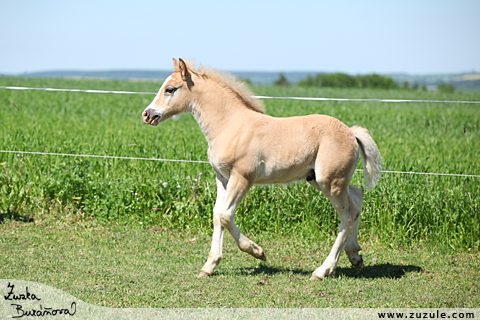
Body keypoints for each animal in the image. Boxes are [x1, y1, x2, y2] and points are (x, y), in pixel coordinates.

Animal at [141, 58, 380, 280]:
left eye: (170, 89)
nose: (147, 114)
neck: (229, 125)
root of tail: (351, 132)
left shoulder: (242, 177)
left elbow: (226, 215)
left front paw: (258, 252)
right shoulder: (222, 178)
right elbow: (217, 214)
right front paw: (209, 266)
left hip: (330, 181)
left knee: (347, 215)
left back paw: (322, 270)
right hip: (324, 180)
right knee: (357, 198)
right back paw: (355, 256)